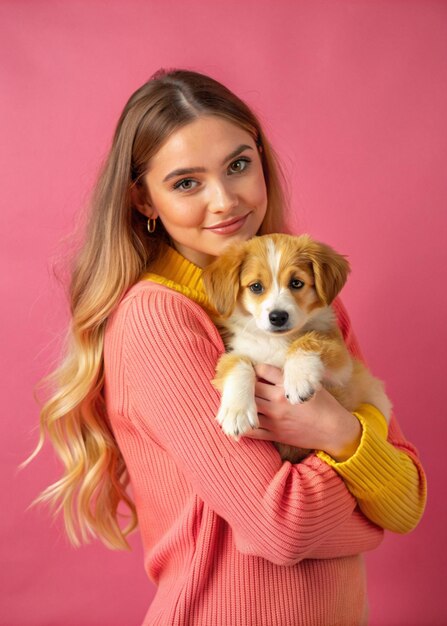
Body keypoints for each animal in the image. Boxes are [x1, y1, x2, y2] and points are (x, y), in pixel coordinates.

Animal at [203, 232, 392, 460]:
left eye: (296, 283)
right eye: (256, 286)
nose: (278, 317)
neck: (275, 341)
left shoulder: (341, 365)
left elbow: (309, 339)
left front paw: (298, 379)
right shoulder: (236, 348)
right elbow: (237, 362)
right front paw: (237, 412)